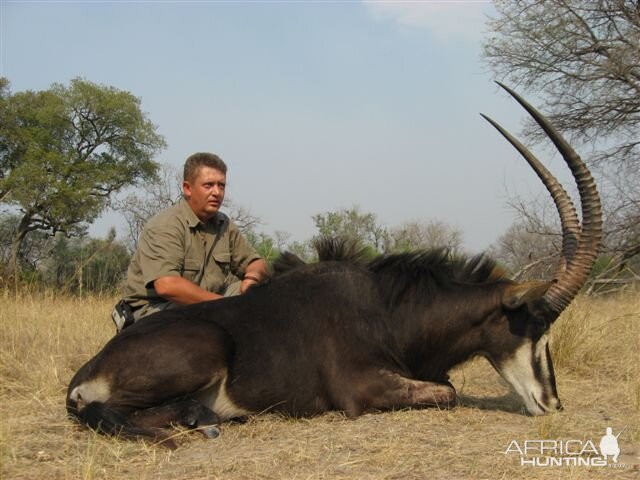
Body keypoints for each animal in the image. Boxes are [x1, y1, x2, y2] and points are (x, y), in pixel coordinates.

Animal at [67, 84, 604, 448]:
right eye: (536, 328)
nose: (553, 403)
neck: (390, 310)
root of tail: (87, 372)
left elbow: (448, 385)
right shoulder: (361, 389)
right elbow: (448, 391)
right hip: (203, 349)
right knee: (113, 411)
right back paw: (199, 421)